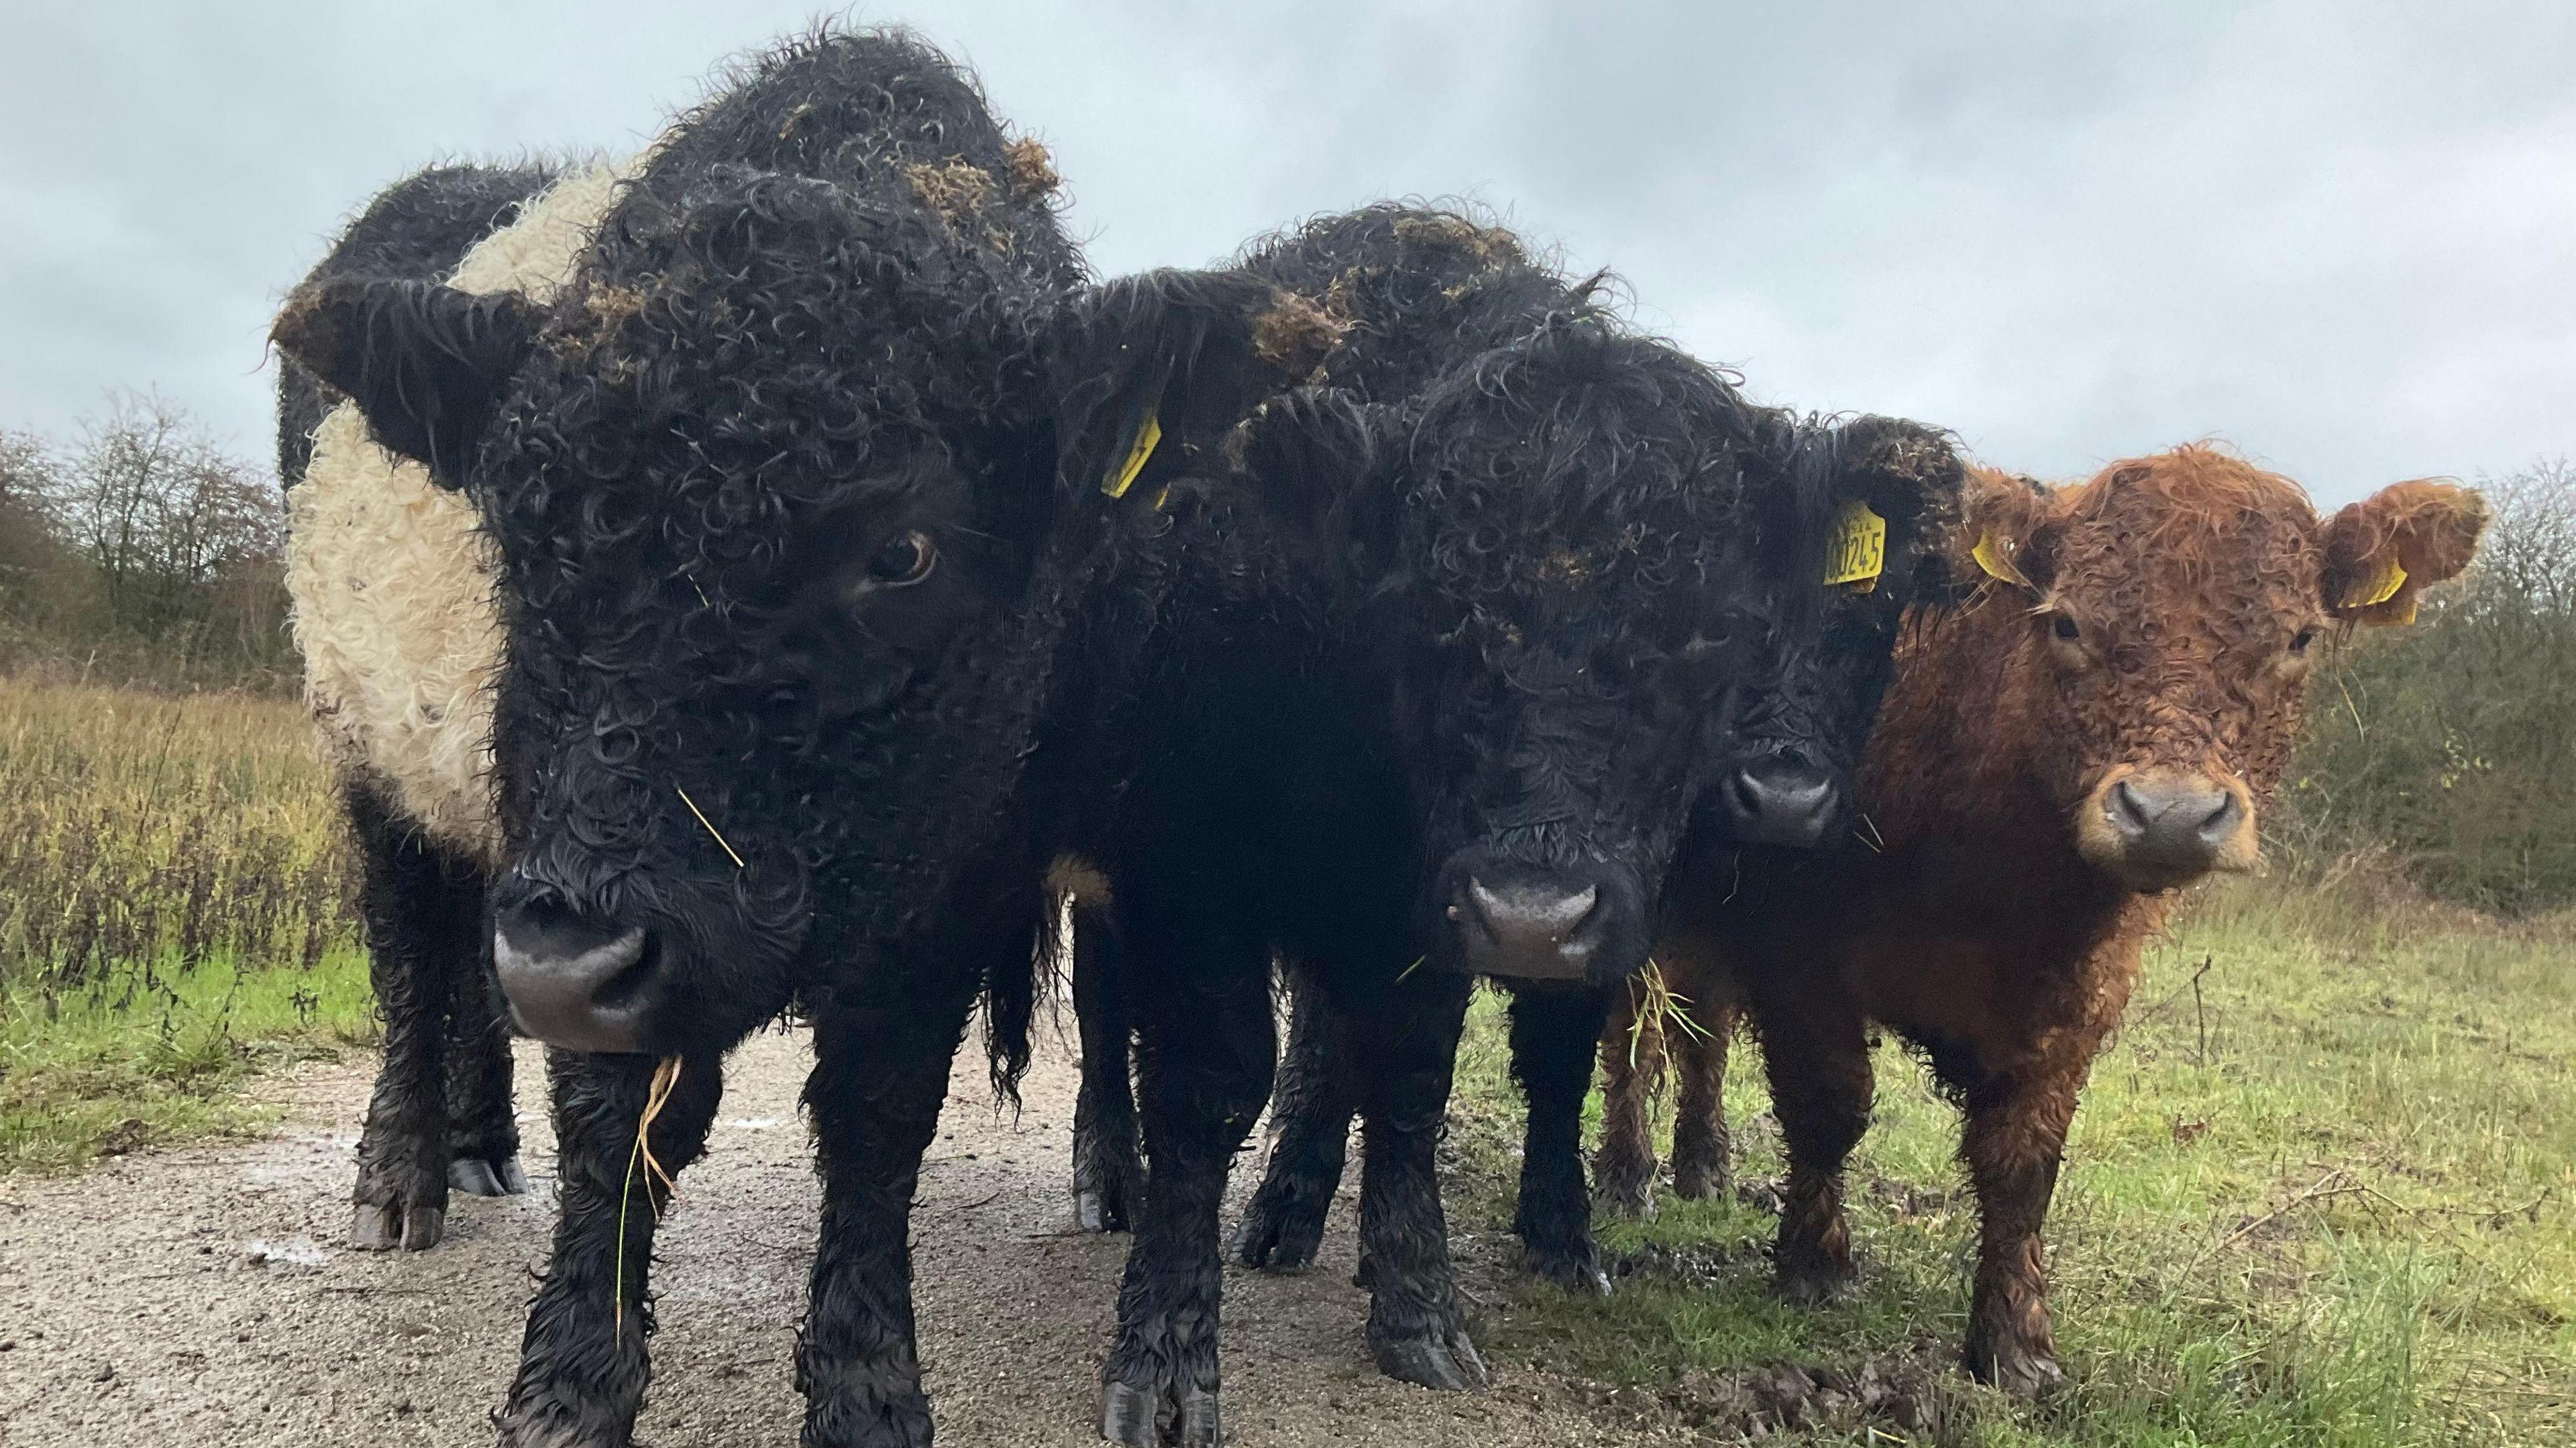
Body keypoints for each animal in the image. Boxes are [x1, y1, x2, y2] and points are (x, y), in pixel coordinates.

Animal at [274, 25, 1339, 1443]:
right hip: (370, 748)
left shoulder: (955, 877)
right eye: (513, 520)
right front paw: (571, 1381)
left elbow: (878, 1115)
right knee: (413, 944)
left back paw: (480, 1143)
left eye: (904, 549)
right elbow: (617, 1116)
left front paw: (867, 1381)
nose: (567, 960)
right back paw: (402, 1173)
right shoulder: (568, 863)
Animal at [1035, 209, 1957, 1432]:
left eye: (1712, 629)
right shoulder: (1190, 870)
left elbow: (1437, 1073)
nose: (1529, 915)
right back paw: (1116, 1182)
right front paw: (1165, 1354)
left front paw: (1434, 1298)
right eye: (1431, 610)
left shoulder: (1428, 909)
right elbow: (1208, 1080)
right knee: (1105, 1021)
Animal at [1597, 448, 2483, 1391]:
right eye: (2067, 624)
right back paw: (1626, 1174)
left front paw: (2015, 1342)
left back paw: (1704, 1165)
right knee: (1635, 1040)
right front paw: (1816, 1265)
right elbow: (1831, 1105)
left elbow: (2023, 1162)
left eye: (2299, 638)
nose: (2171, 813)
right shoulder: (1801, 953)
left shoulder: (2080, 995)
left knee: (1702, 1037)